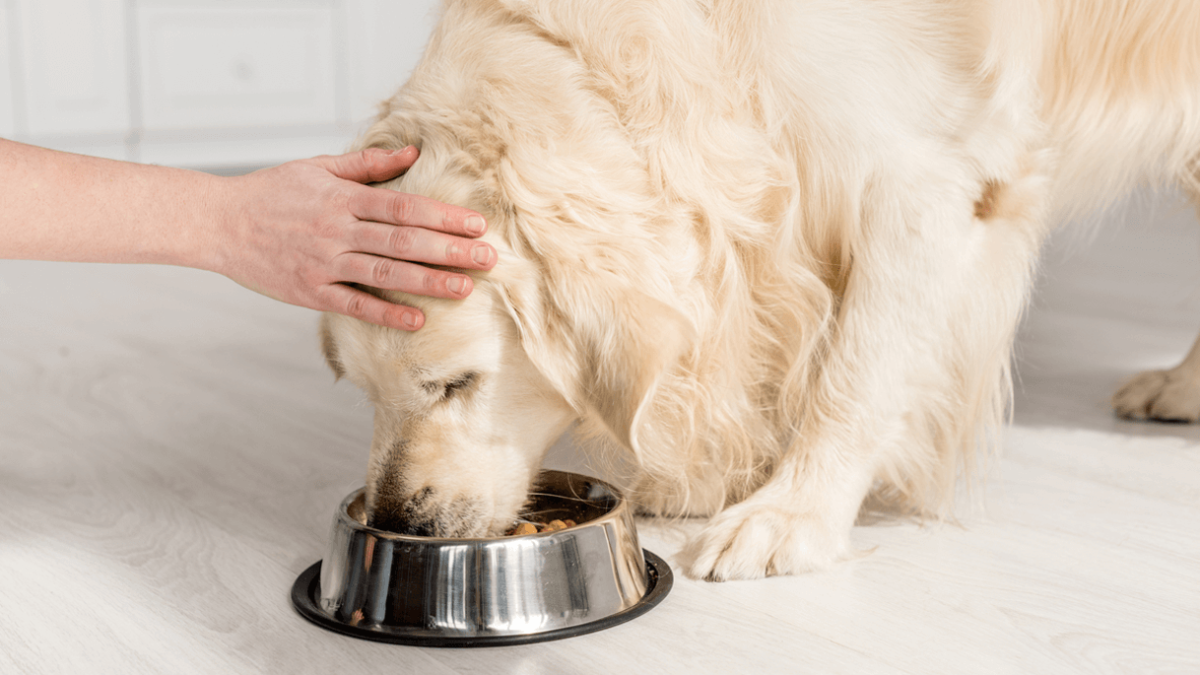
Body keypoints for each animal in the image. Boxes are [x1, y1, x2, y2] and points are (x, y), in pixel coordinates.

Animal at [316, 0, 1200, 578]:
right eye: (365, 390)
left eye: (457, 384)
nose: (398, 520)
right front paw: (702, 481)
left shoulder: (923, 175)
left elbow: (857, 372)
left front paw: (791, 514)